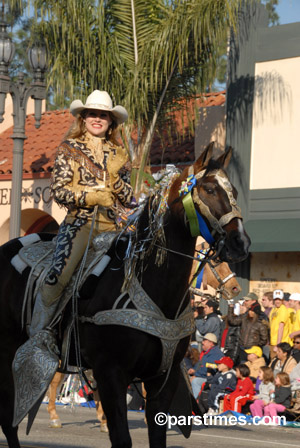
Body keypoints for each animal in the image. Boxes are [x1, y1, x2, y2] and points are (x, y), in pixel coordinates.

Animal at [0, 144, 251, 448]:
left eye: (234, 191)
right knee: (11, 417)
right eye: (210, 190)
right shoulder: (111, 372)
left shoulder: (162, 379)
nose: (241, 243)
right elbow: (120, 435)